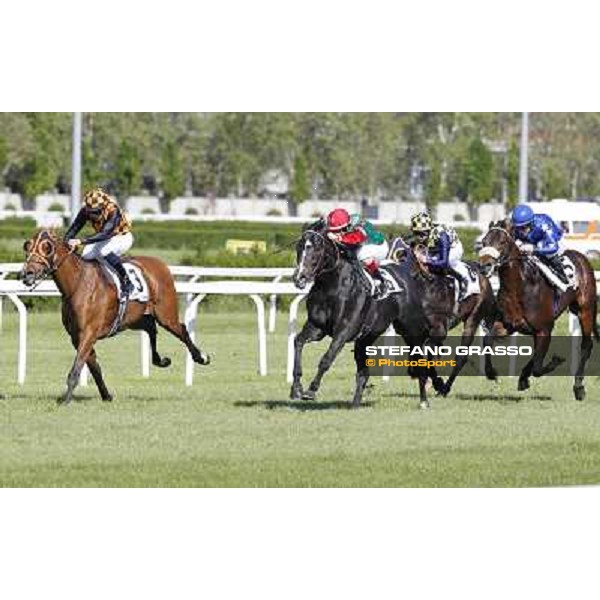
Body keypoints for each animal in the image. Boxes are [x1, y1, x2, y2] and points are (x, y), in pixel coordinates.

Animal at [21, 230, 211, 404]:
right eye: (27, 246)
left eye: (47, 248)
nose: (27, 273)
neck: (77, 284)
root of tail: (161, 264)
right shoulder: (76, 336)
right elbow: (94, 367)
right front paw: (106, 396)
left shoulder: (88, 333)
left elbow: (77, 368)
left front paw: (65, 400)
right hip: (132, 319)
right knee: (150, 327)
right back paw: (161, 360)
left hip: (165, 315)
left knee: (182, 329)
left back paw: (201, 357)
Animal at [290, 223, 496, 410]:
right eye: (299, 248)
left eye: (316, 248)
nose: (299, 278)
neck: (332, 286)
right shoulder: (317, 328)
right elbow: (298, 342)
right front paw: (296, 388)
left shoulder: (344, 330)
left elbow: (326, 358)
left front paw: (311, 390)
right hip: (369, 337)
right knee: (364, 372)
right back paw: (356, 403)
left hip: (444, 324)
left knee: (435, 358)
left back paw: (426, 399)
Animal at [478, 219, 596, 398]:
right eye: (484, 242)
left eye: (502, 242)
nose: (485, 266)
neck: (519, 287)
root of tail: (582, 257)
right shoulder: (508, 325)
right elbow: (487, 340)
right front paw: (492, 373)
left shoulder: (544, 329)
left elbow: (538, 368)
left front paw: (555, 361)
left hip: (585, 310)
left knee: (586, 345)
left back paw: (578, 387)